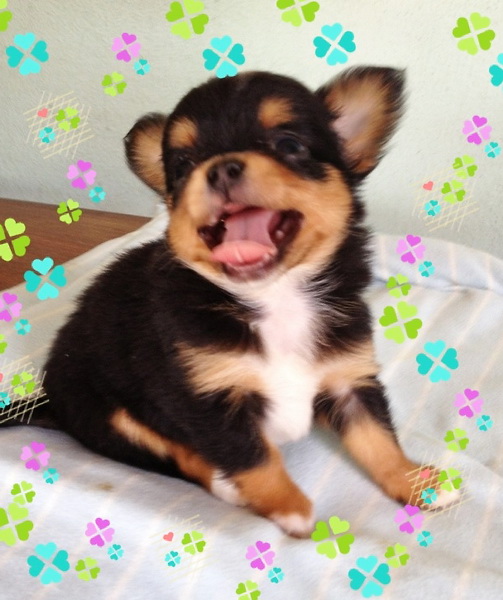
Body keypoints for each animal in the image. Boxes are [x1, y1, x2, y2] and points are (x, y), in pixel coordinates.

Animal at [40, 67, 435, 537]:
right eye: (183, 165)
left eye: (289, 145)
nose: (219, 169)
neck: (274, 295)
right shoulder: (206, 400)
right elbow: (254, 458)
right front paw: (291, 511)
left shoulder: (348, 379)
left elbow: (378, 439)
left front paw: (414, 483)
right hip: (110, 415)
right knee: (179, 456)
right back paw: (227, 487)